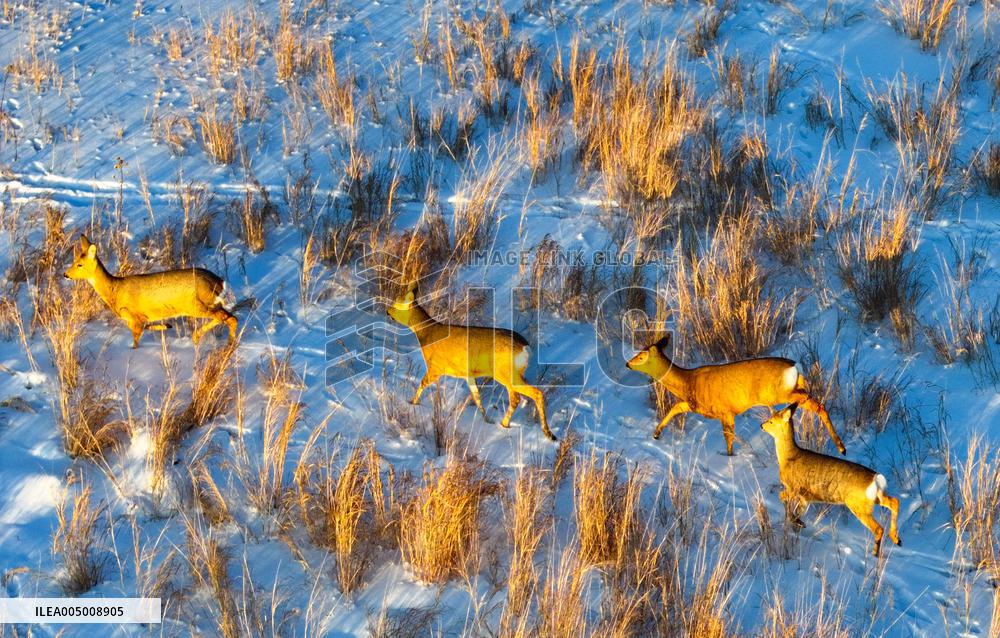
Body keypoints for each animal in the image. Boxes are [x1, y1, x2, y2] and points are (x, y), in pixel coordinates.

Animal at [64, 235, 237, 348]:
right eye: (74, 261)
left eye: (79, 264)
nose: (66, 274)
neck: (115, 290)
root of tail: (219, 281)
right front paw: (165, 326)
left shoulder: (134, 318)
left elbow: (136, 339)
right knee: (226, 317)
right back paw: (197, 337)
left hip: (198, 304)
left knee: (230, 318)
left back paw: (227, 345)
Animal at [386, 284, 554, 441]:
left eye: (396, 303)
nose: (387, 312)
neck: (426, 334)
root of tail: (525, 347)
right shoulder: (469, 375)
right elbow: (477, 397)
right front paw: (486, 420)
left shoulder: (436, 366)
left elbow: (422, 384)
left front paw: (411, 402)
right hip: (514, 373)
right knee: (515, 398)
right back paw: (504, 424)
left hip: (505, 372)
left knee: (535, 393)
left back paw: (548, 433)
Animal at [625, 334, 845, 456]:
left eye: (642, 355)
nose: (627, 363)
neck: (689, 382)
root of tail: (795, 367)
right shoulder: (697, 406)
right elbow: (676, 407)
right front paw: (656, 434)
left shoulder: (725, 411)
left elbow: (728, 436)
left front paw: (729, 456)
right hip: (792, 390)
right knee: (815, 404)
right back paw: (841, 447)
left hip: (781, 393)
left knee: (814, 403)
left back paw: (841, 447)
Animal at [761, 403, 901, 556]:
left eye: (771, 421)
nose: (761, 425)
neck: (787, 457)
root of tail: (876, 479)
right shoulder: (806, 496)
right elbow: (799, 509)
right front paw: (798, 522)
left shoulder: (794, 487)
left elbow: (782, 497)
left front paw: (795, 521)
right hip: (873, 498)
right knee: (894, 501)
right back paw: (896, 539)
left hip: (857, 504)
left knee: (878, 527)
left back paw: (875, 551)